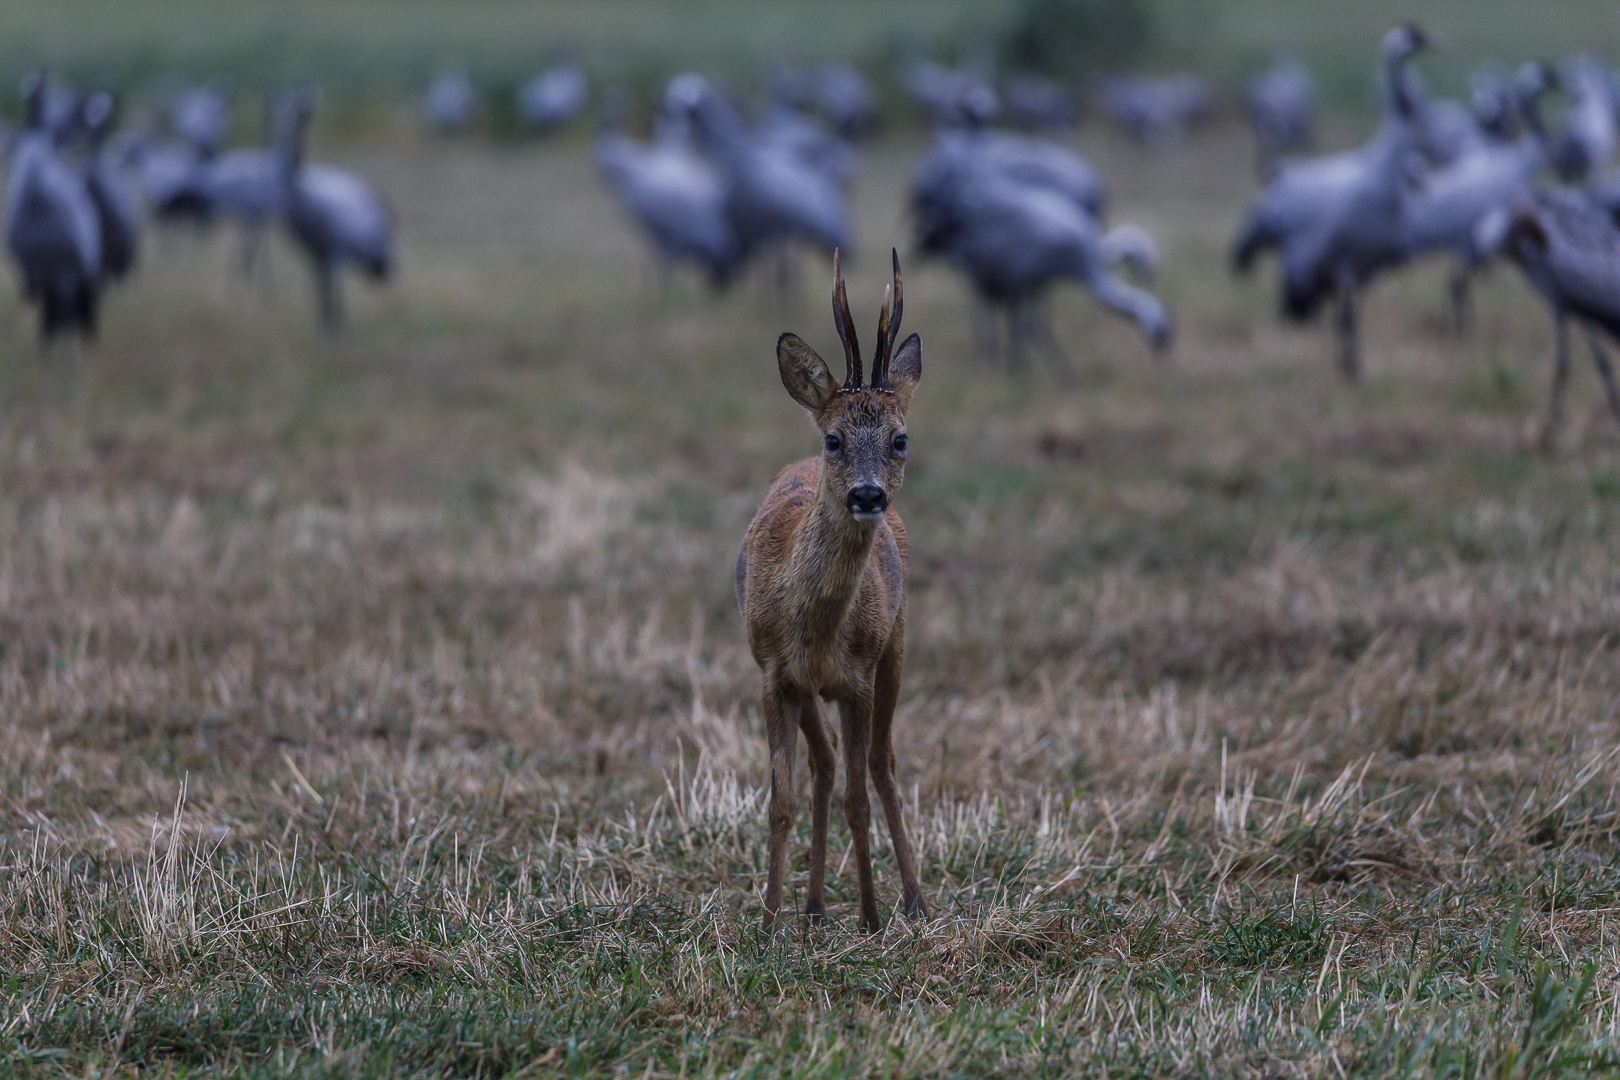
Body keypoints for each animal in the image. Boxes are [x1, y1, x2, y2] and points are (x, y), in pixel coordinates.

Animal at [735, 249, 926, 932]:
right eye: (834, 438)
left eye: (900, 439)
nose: (867, 495)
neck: (816, 628)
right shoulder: (773, 672)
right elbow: (781, 798)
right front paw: (769, 921)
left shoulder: (859, 675)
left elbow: (859, 797)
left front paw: (870, 915)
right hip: (807, 687)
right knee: (823, 767)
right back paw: (813, 906)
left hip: (897, 642)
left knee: (880, 766)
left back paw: (914, 899)